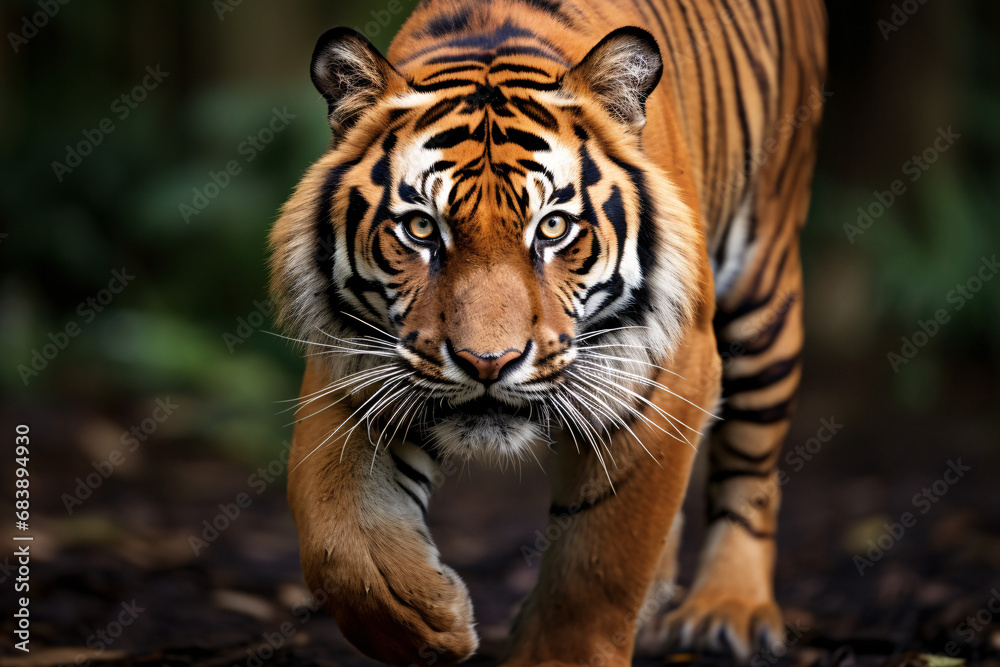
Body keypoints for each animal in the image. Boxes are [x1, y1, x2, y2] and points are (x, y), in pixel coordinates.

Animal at [268, 0, 826, 664]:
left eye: (553, 227)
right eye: (422, 230)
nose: (488, 362)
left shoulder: (674, 364)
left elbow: (601, 560)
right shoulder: (354, 358)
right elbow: (336, 537)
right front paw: (433, 619)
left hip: (763, 292)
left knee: (750, 467)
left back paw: (727, 610)